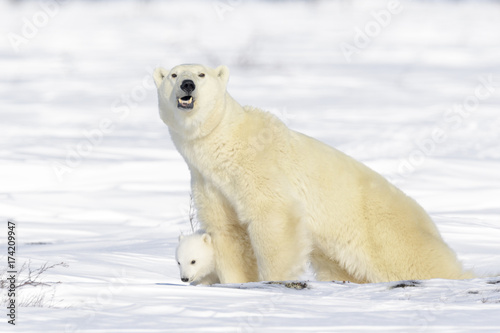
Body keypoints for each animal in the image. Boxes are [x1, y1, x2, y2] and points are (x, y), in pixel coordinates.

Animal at [154, 64, 474, 282]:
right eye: (173, 75)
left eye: (201, 74)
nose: (187, 85)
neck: (225, 141)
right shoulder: (209, 181)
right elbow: (228, 231)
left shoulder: (259, 165)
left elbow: (275, 216)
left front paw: (275, 279)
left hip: (387, 234)